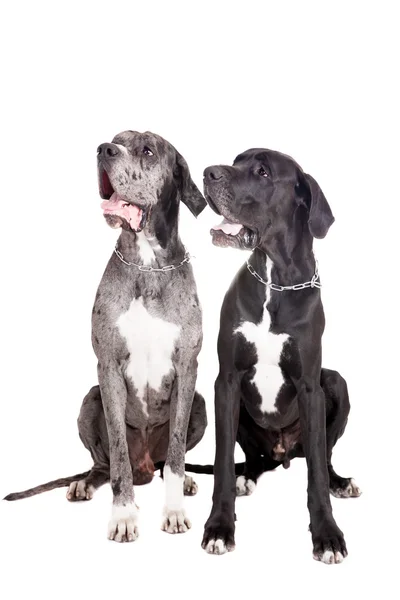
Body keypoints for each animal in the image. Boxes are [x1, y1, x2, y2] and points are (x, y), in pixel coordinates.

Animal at [4, 131, 208, 544]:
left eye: (147, 150)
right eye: (116, 139)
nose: (104, 150)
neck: (147, 264)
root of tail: (147, 466)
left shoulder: (187, 367)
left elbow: (176, 453)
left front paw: (174, 509)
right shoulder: (108, 368)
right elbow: (117, 453)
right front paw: (124, 515)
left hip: (200, 402)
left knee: (166, 460)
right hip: (89, 399)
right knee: (102, 463)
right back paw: (85, 482)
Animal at [202, 149, 360, 564]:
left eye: (262, 172)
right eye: (237, 159)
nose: (208, 173)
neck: (275, 279)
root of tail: (284, 452)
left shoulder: (309, 387)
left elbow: (317, 474)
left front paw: (327, 535)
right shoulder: (226, 382)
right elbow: (222, 464)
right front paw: (220, 527)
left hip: (335, 383)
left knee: (324, 456)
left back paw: (340, 481)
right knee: (254, 461)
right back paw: (247, 477)